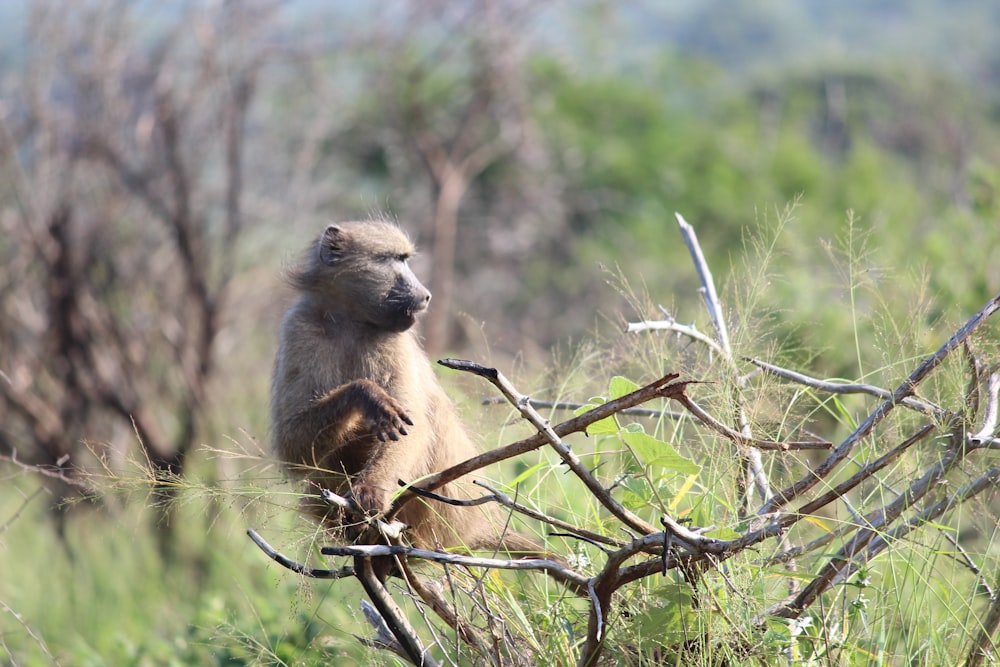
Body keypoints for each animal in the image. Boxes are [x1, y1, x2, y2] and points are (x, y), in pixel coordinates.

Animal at [270, 222, 560, 568]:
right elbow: (292, 446)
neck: (351, 320)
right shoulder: (298, 328)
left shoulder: (394, 343)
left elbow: (415, 430)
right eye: (392, 259)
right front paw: (366, 394)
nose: (425, 294)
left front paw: (371, 489)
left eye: (405, 259)